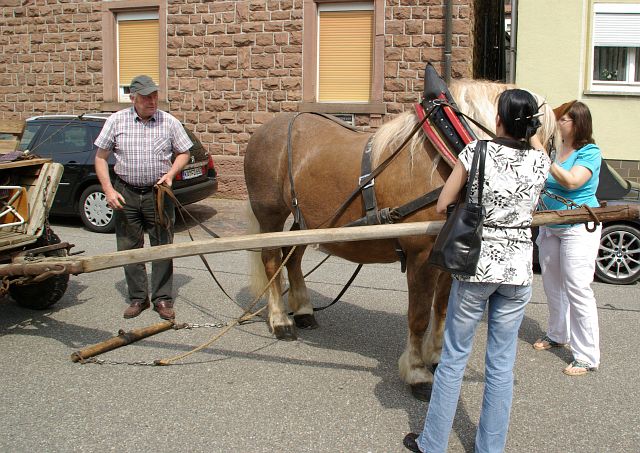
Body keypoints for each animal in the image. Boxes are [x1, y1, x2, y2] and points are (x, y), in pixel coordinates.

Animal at [243, 79, 556, 399]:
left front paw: (436, 357)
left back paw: (304, 310)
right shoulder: (421, 256)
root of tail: (267, 128)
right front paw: (417, 373)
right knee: (271, 260)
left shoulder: (447, 257)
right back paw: (280, 320)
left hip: (306, 220)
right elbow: (418, 316)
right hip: (270, 214)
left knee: (292, 256)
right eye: (547, 142)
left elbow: (441, 308)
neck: (449, 149)